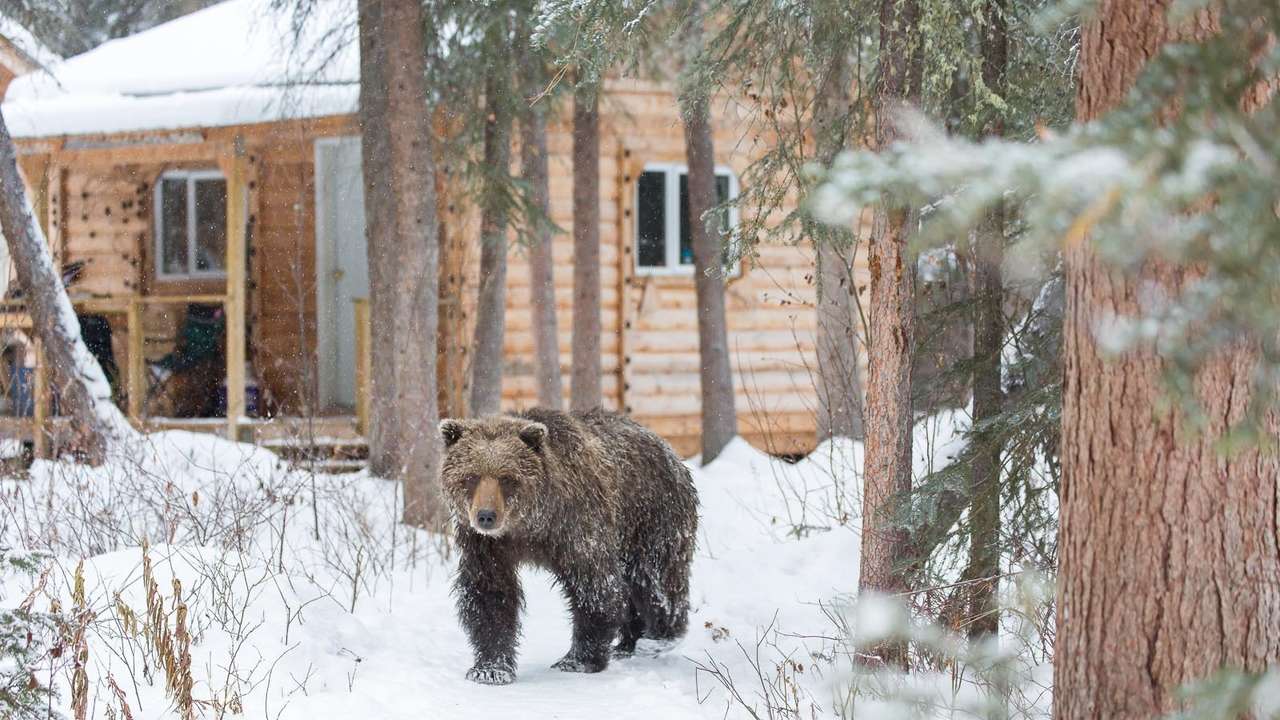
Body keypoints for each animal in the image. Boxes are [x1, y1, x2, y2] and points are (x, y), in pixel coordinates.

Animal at [438, 407, 699, 685]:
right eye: (471, 477)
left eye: (507, 478)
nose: (486, 516)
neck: (530, 525)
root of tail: (670, 451)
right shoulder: (487, 545)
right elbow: (490, 593)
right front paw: (489, 669)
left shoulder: (575, 526)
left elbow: (594, 586)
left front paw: (577, 660)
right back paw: (627, 645)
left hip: (651, 517)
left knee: (654, 579)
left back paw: (658, 637)